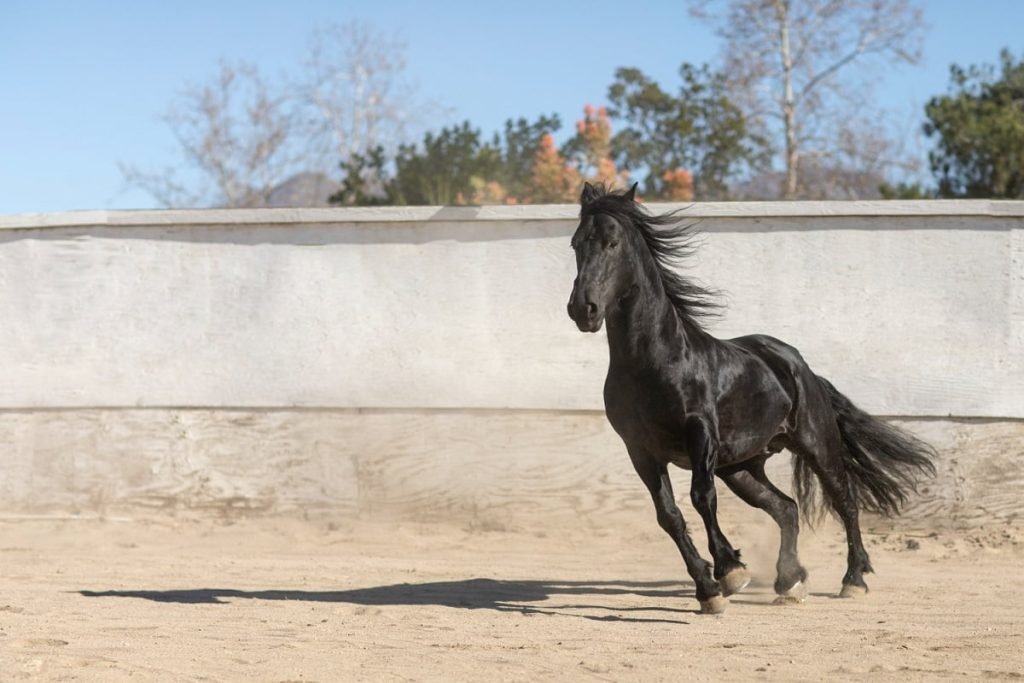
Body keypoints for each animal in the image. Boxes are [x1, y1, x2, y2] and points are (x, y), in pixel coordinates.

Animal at [569, 184, 937, 618]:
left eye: (612, 242)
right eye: (576, 243)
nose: (583, 309)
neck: (654, 361)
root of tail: (799, 365)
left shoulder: (700, 434)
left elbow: (701, 497)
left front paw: (730, 572)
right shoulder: (640, 450)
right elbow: (670, 516)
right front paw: (710, 589)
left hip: (816, 445)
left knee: (844, 500)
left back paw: (853, 580)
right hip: (742, 467)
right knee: (787, 508)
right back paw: (790, 581)